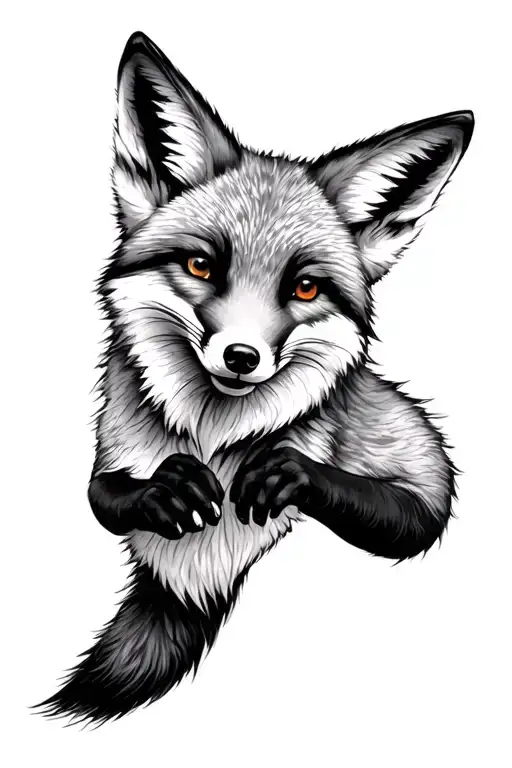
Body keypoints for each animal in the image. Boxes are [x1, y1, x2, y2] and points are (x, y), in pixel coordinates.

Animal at [37, 31, 473, 725]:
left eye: (305, 287)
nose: (241, 357)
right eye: (201, 266)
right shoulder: (114, 449)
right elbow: (102, 494)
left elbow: (406, 513)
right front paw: (164, 490)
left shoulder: (418, 461)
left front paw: (288, 472)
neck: (217, 437)